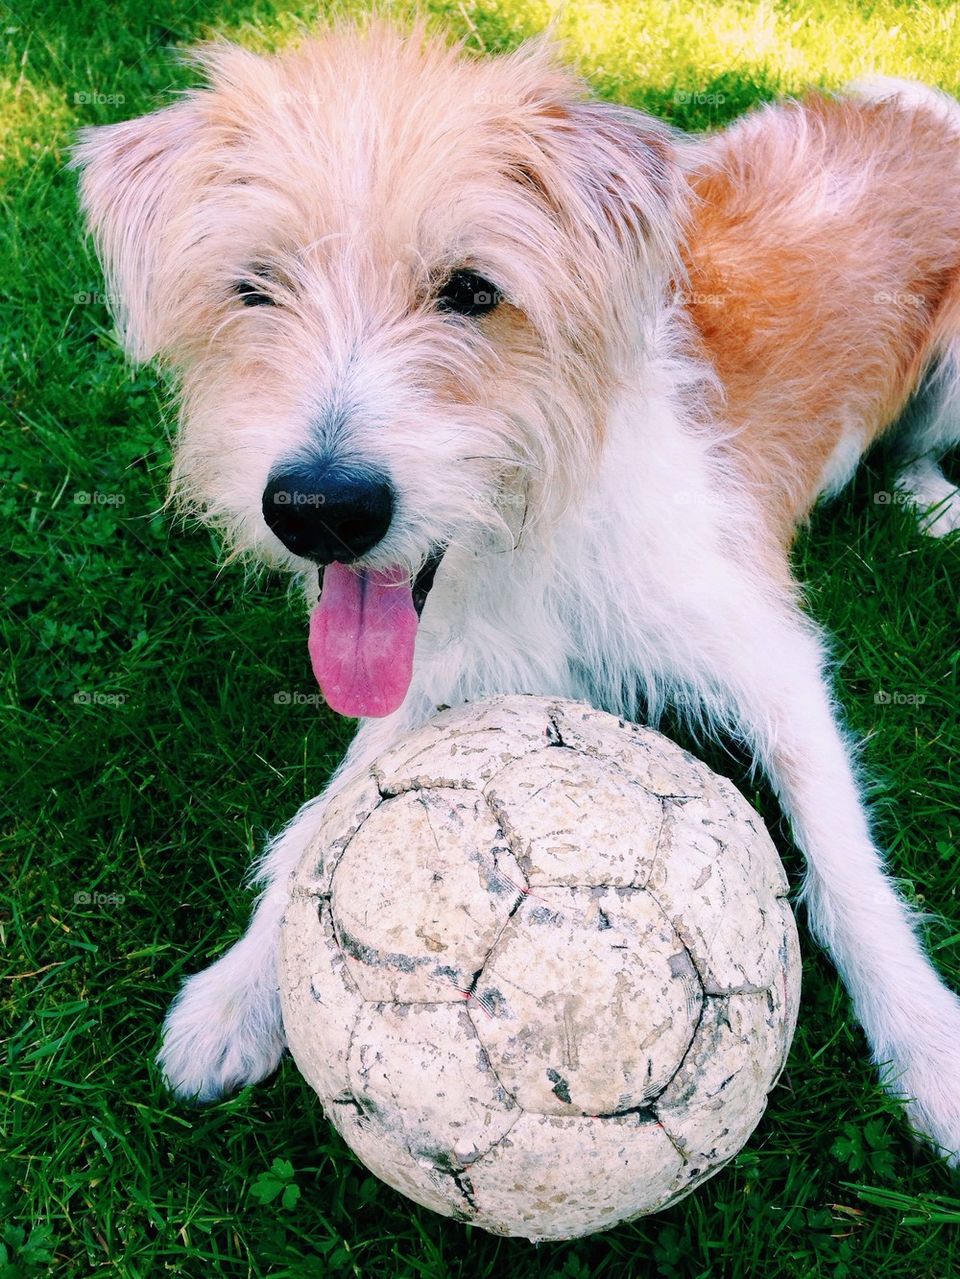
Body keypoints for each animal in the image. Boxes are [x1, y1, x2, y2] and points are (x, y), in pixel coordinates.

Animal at [75, 17, 960, 1161]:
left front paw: (929, 1044)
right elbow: (327, 819)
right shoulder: (426, 676)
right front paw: (235, 993)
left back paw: (929, 497)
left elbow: (847, 865)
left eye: (471, 291)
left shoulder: (767, 654)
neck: (531, 537)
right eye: (255, 286)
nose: (320, 509)